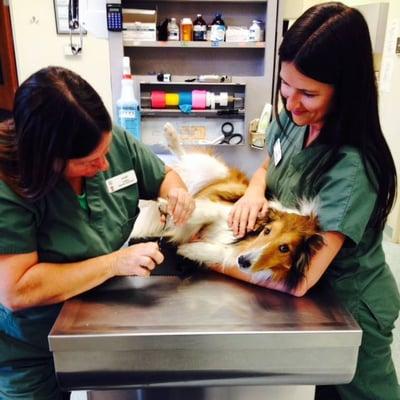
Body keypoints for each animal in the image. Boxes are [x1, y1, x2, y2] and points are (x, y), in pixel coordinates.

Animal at [131, 123, 324, 290]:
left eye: (284, 248)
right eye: (267, 231)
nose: (244, 261)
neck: (243, 240)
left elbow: (220, 252)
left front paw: (190, 250)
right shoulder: (226, 207)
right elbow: (205, 211)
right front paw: (173, 207)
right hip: (213, 170)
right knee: (184, 157)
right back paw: (170, 135)